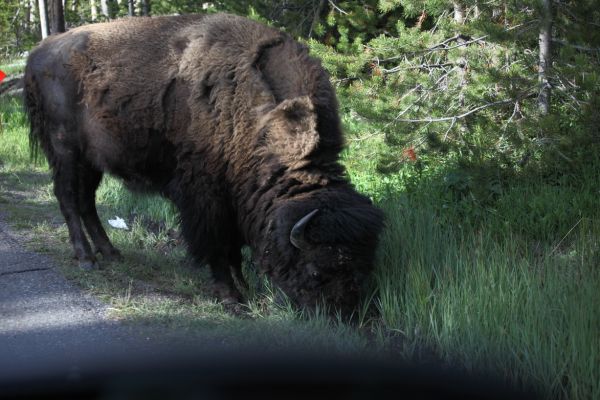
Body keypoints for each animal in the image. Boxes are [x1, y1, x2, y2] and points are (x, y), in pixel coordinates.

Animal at [23, 13, 384, 312]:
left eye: (363, 267)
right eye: (316, 269)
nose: (342, 314)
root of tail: (38, 53)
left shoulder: (236, 197)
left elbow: (234, 246)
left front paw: (243, 288)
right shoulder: (206, 196)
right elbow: (217, 245)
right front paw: (231, 297)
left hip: (92, 161)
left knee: (86, 202)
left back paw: (111, 253)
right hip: (65, 152)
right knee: (69, 199)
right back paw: (86, 258)